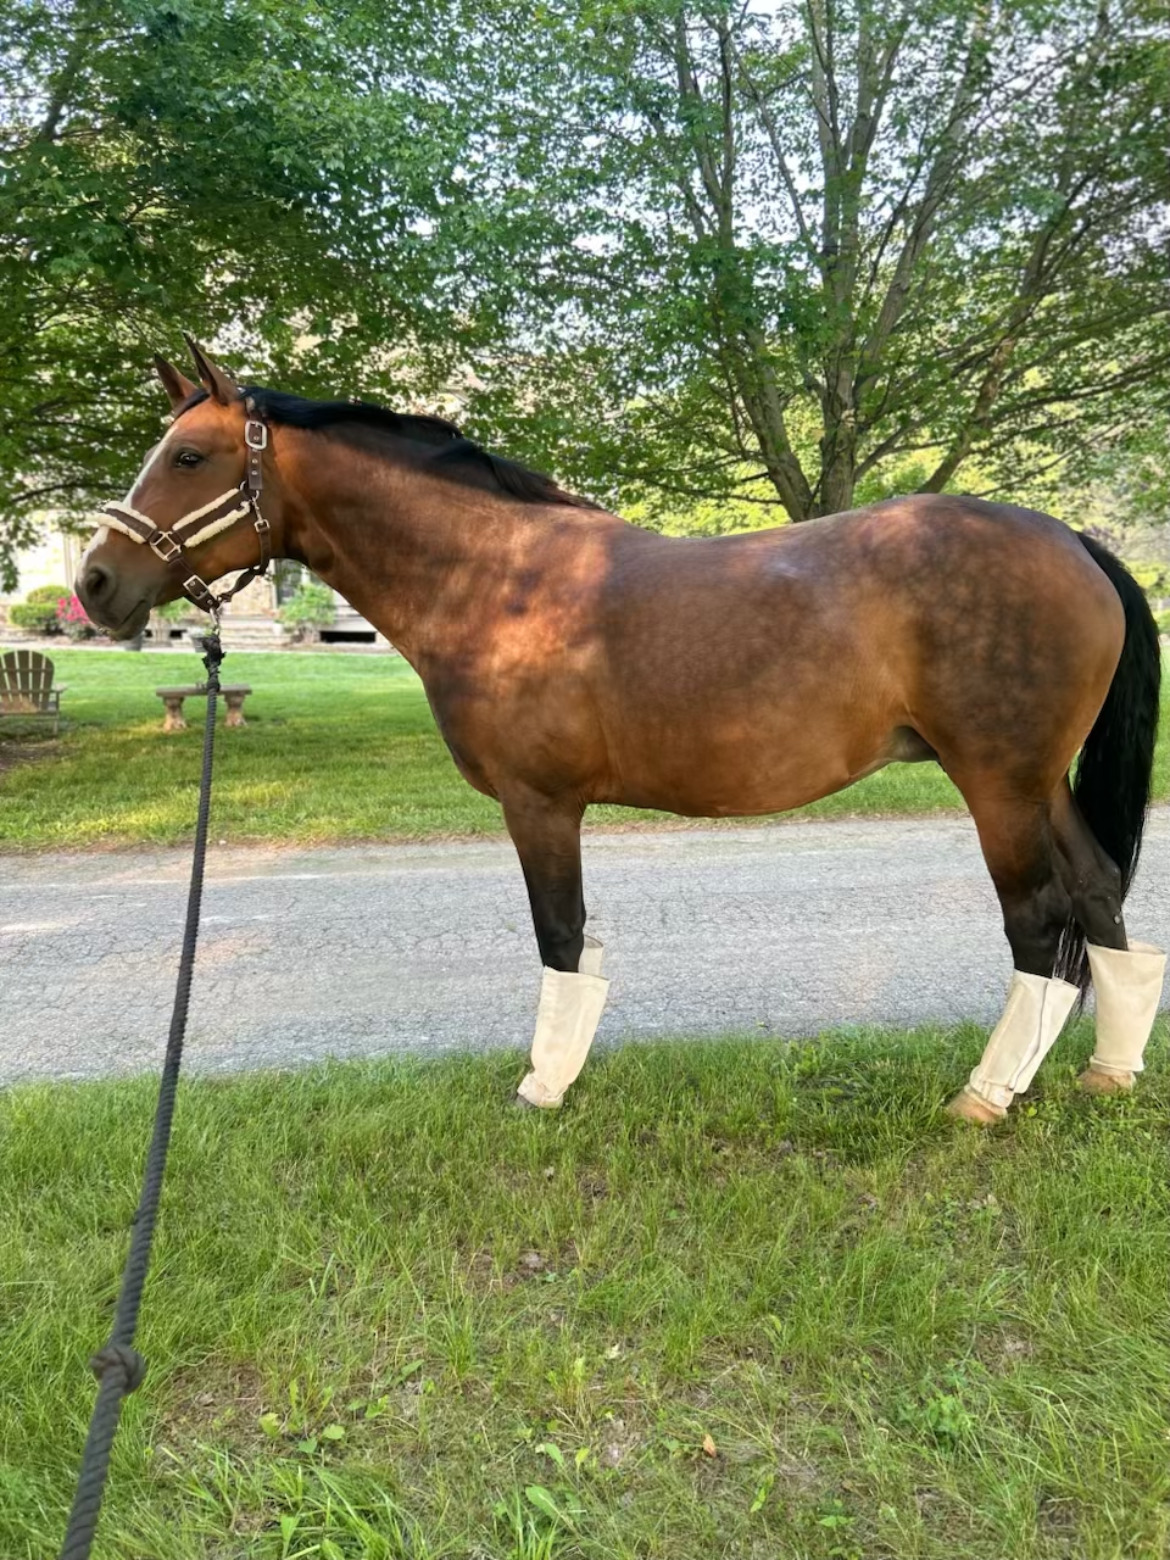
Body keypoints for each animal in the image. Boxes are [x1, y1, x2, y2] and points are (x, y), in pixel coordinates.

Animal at [76, 341, 1164, 1122]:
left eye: (188, 455)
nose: (95, 584)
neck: (497, 579)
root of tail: (1071, 539)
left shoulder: (540, 804)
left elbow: (561, 937)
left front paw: (543, 1088)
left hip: (997, 785)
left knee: (1041, 924)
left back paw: (986, 1097)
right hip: (1039, 783)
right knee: (1098, 896)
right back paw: (1105, 1074)